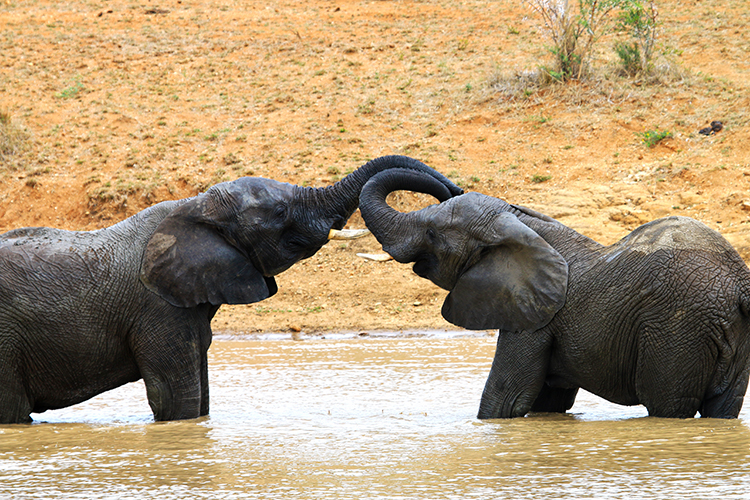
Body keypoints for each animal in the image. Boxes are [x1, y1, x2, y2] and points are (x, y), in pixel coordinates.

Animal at [356, 167, 750, 418]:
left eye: (433, 234)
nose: (451, 185)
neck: (521, 223)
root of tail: (739, 281)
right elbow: (546, 402)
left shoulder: (533, 321)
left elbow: (507, 398)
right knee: (723, 408)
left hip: (676, 331)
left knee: (668, 405)